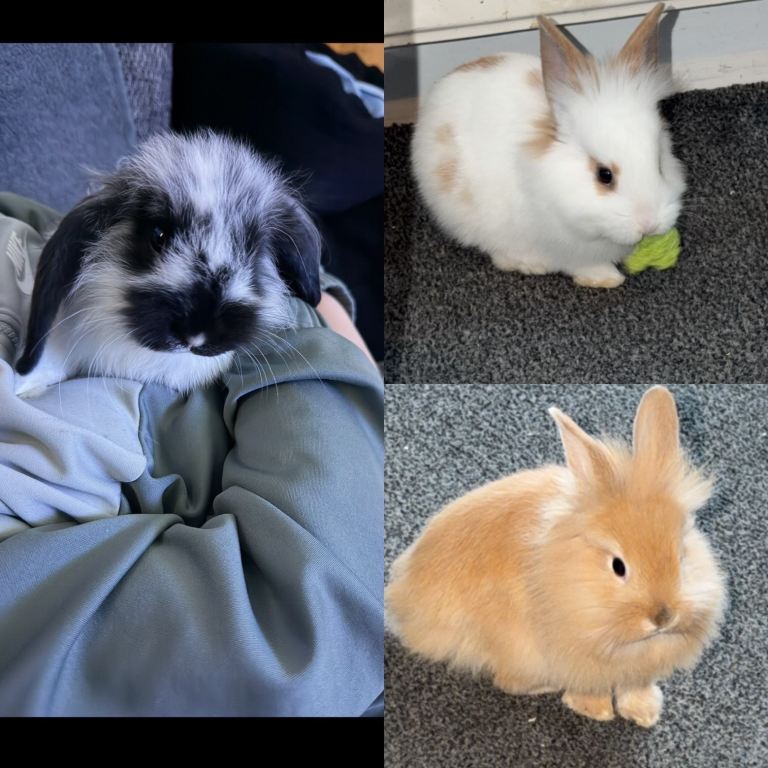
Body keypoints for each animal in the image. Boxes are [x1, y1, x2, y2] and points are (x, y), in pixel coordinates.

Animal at [386, 386, 726, 727]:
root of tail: (402, 597)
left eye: (681, 556)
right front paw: (597, 710)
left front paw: (645, 712)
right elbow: (587, 686)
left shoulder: (635, 670)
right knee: (507, 681)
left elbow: (634, 687)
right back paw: (548, 686)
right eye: (618, 566)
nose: (662, 617)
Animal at [411, 3, 685, 288]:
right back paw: (529, 263)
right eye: (604, 175)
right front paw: (605, 278)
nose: (649, 225)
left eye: (659, 164)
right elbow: (581, 263)